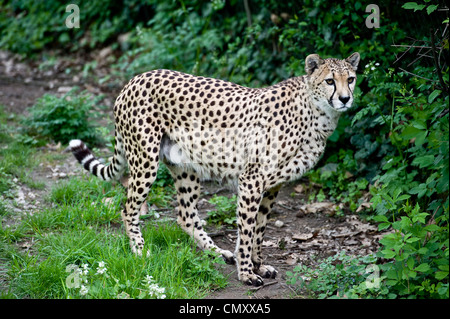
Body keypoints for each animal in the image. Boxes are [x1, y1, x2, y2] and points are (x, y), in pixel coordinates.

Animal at [69, 52, 358, 288]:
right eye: (330, 81)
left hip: (185, 166)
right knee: (128, 208)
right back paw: (139, 251)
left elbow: (259, 229)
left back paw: (217, 252)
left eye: (352, 79)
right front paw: (247, 273)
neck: (316, 112)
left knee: (185, 215)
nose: (345, 99)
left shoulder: (272, 186)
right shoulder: (252, 179)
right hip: (145, 160)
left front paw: (257, 265)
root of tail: (134, 79)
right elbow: (247, 229)